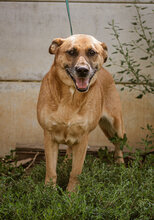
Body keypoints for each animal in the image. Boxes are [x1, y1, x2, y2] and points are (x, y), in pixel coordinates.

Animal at [37, 33, 125, 192]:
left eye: (92, 52)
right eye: (71, 52)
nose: (83, 70)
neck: (71, 97)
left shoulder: (82, 139)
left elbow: (76, 172)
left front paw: (71, 194)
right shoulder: (49, 137)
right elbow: (51, 170)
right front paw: (49, 192)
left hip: (115, 125)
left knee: (118, 145)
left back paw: (120, 166)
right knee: (69, 151)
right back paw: (64, 165)